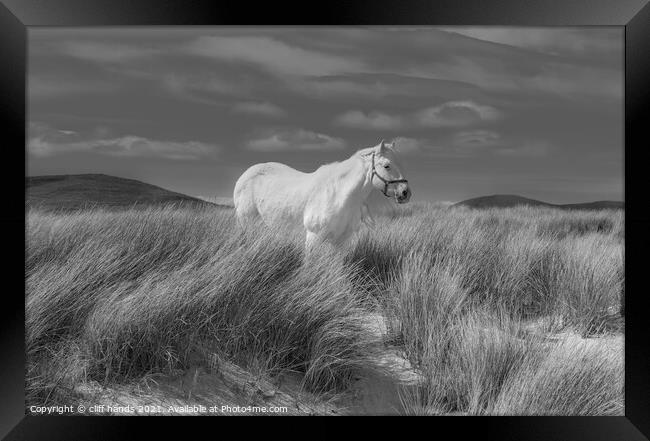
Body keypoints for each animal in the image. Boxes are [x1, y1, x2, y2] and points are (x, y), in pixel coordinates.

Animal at [233, 141, 410, 251]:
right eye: (387, 166)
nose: (405, 193)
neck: (339, 195)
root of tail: (245, 175)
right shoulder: (313, 238)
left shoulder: (341, 242)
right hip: (248, 224)